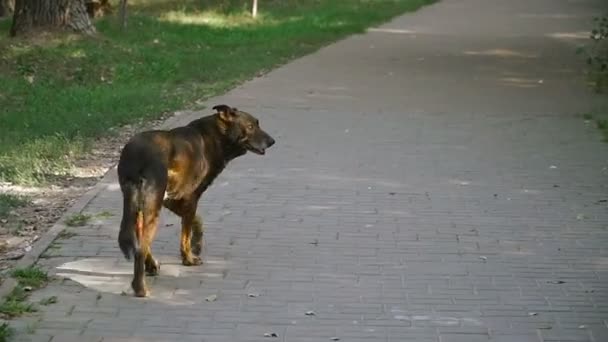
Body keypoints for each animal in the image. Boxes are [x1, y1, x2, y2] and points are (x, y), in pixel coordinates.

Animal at [114, 105, 276, 296]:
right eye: (250, 126)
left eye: (258, 124)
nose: (272, 141)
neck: (215, 136)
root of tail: (136, 154)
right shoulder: (191, 198)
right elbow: (185, 232)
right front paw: (189, 258)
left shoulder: (171, 198)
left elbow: (196, 220)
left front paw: (196, 243)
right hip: (153, 211)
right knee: (140, 249)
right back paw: (140, 288)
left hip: (141, 207)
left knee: (140, 242)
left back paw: (150, 267)